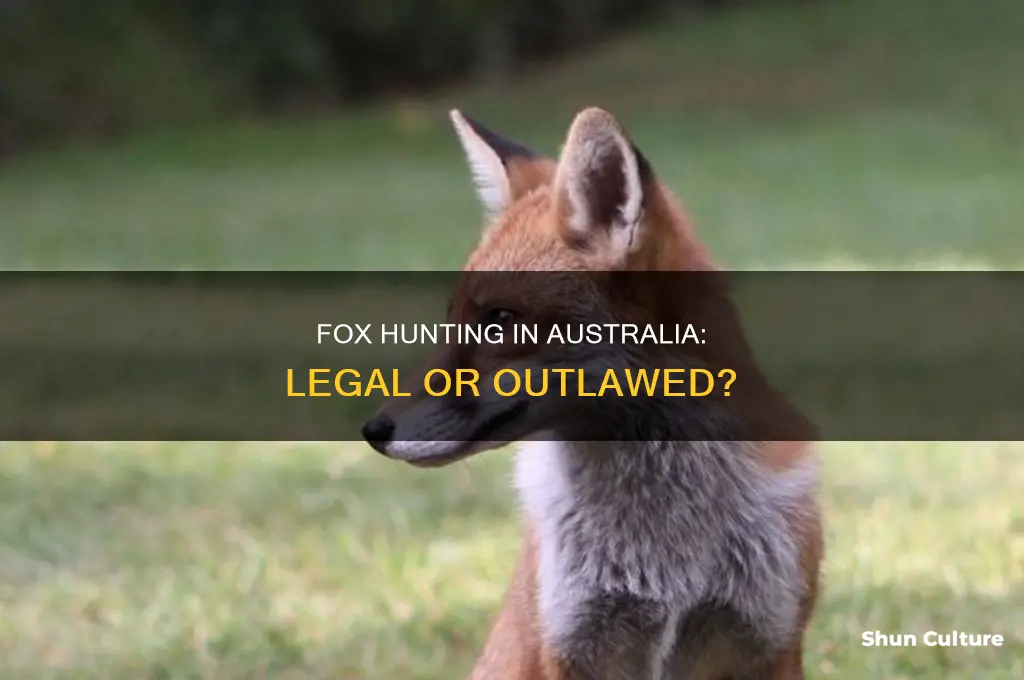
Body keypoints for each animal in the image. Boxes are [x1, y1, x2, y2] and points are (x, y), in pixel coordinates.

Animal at [361, 107, 823, 680]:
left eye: (499, 320)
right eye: (451, 320)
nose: (373, 430)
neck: (665, 543)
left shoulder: (768, 640)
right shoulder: (573, 644)